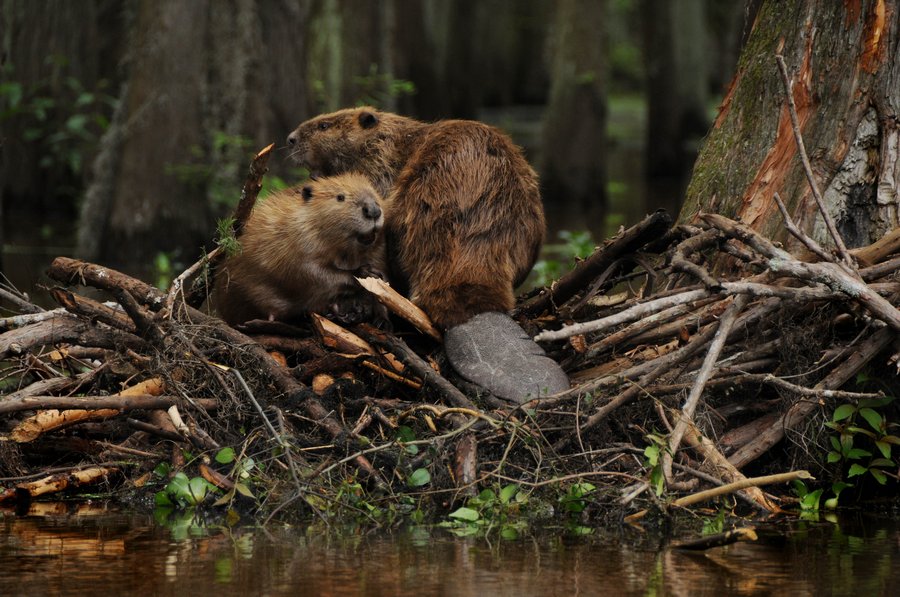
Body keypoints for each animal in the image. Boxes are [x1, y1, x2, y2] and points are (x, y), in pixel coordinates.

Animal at [218, 172, 390, 326]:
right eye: (340, 197)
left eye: (374, 192)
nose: (373, 210)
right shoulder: (298, 241)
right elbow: (310, 271)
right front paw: (365, 273)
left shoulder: (378, 251)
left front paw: (381, 319)